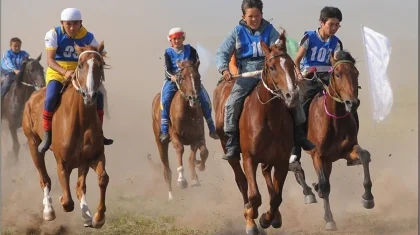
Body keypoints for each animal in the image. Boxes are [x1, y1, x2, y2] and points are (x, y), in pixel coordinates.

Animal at [21, 41, 110, 228]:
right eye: (80, 65)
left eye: (101, 65)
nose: (90, 96)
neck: (81, 120)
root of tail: (33, 96)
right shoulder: (62, 163)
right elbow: (68, 202)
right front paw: (61, 200)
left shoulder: (93, 156)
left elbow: (102, 179)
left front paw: (98, 217)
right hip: (33, 144)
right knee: (44, 178)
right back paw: (48, 210)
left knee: (80, 186)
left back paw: (86, 215)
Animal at [152, 58, 209, 200]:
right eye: (182, 77)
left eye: (197, 76)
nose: (194, 98)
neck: (188, 112)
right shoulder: (175, 136)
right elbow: (180, 149)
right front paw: (182, 180)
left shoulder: (198, 137)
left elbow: (202, 153)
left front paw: (196, 172)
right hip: (160, 143)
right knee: (166, 169)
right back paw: (171, 196)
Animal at [215, 31, 300, 235]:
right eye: (272, 67)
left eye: (291, 65)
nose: (292, 95)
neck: (270, 118)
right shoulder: (249, 158)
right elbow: (254, 195)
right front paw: (252, 218)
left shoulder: (281, 161)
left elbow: (276, 197)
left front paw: (268, 218)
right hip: (229, 150)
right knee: (242, 182)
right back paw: (249, 216)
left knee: (267, 175)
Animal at [298, 50, 374, 230]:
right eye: (338, 74)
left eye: (356, 73)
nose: (352, 103)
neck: (334, 120)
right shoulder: (317, 155)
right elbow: (325, 185)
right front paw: (329, 220)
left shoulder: (347, 150)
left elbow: (365, 156)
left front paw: (367, 198)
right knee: (295, 167)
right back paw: (309, 193)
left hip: (329, 161)